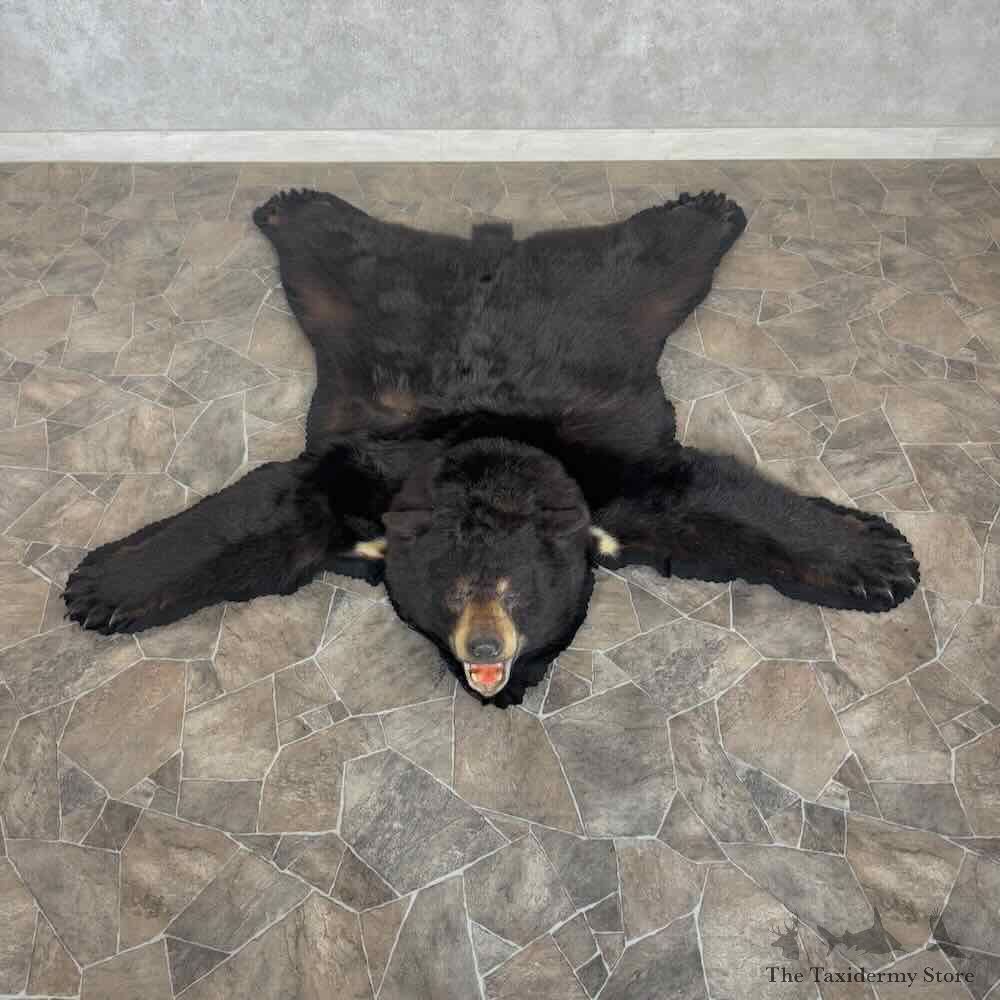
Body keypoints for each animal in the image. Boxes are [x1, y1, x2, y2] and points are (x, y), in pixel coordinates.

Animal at [64, 188, 919, 707]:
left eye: (515, 591)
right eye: (450, 593)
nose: (486, 647)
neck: (489, 453)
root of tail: (491, 254)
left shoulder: (607, 479)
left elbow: (705, 501)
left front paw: (881, 558)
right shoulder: (370, 480)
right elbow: (278, 510)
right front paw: (102, 585)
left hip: (602, 299)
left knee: (652, 260)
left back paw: (708, 209)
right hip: (368, 303)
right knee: (335, 255)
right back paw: (292, 207)